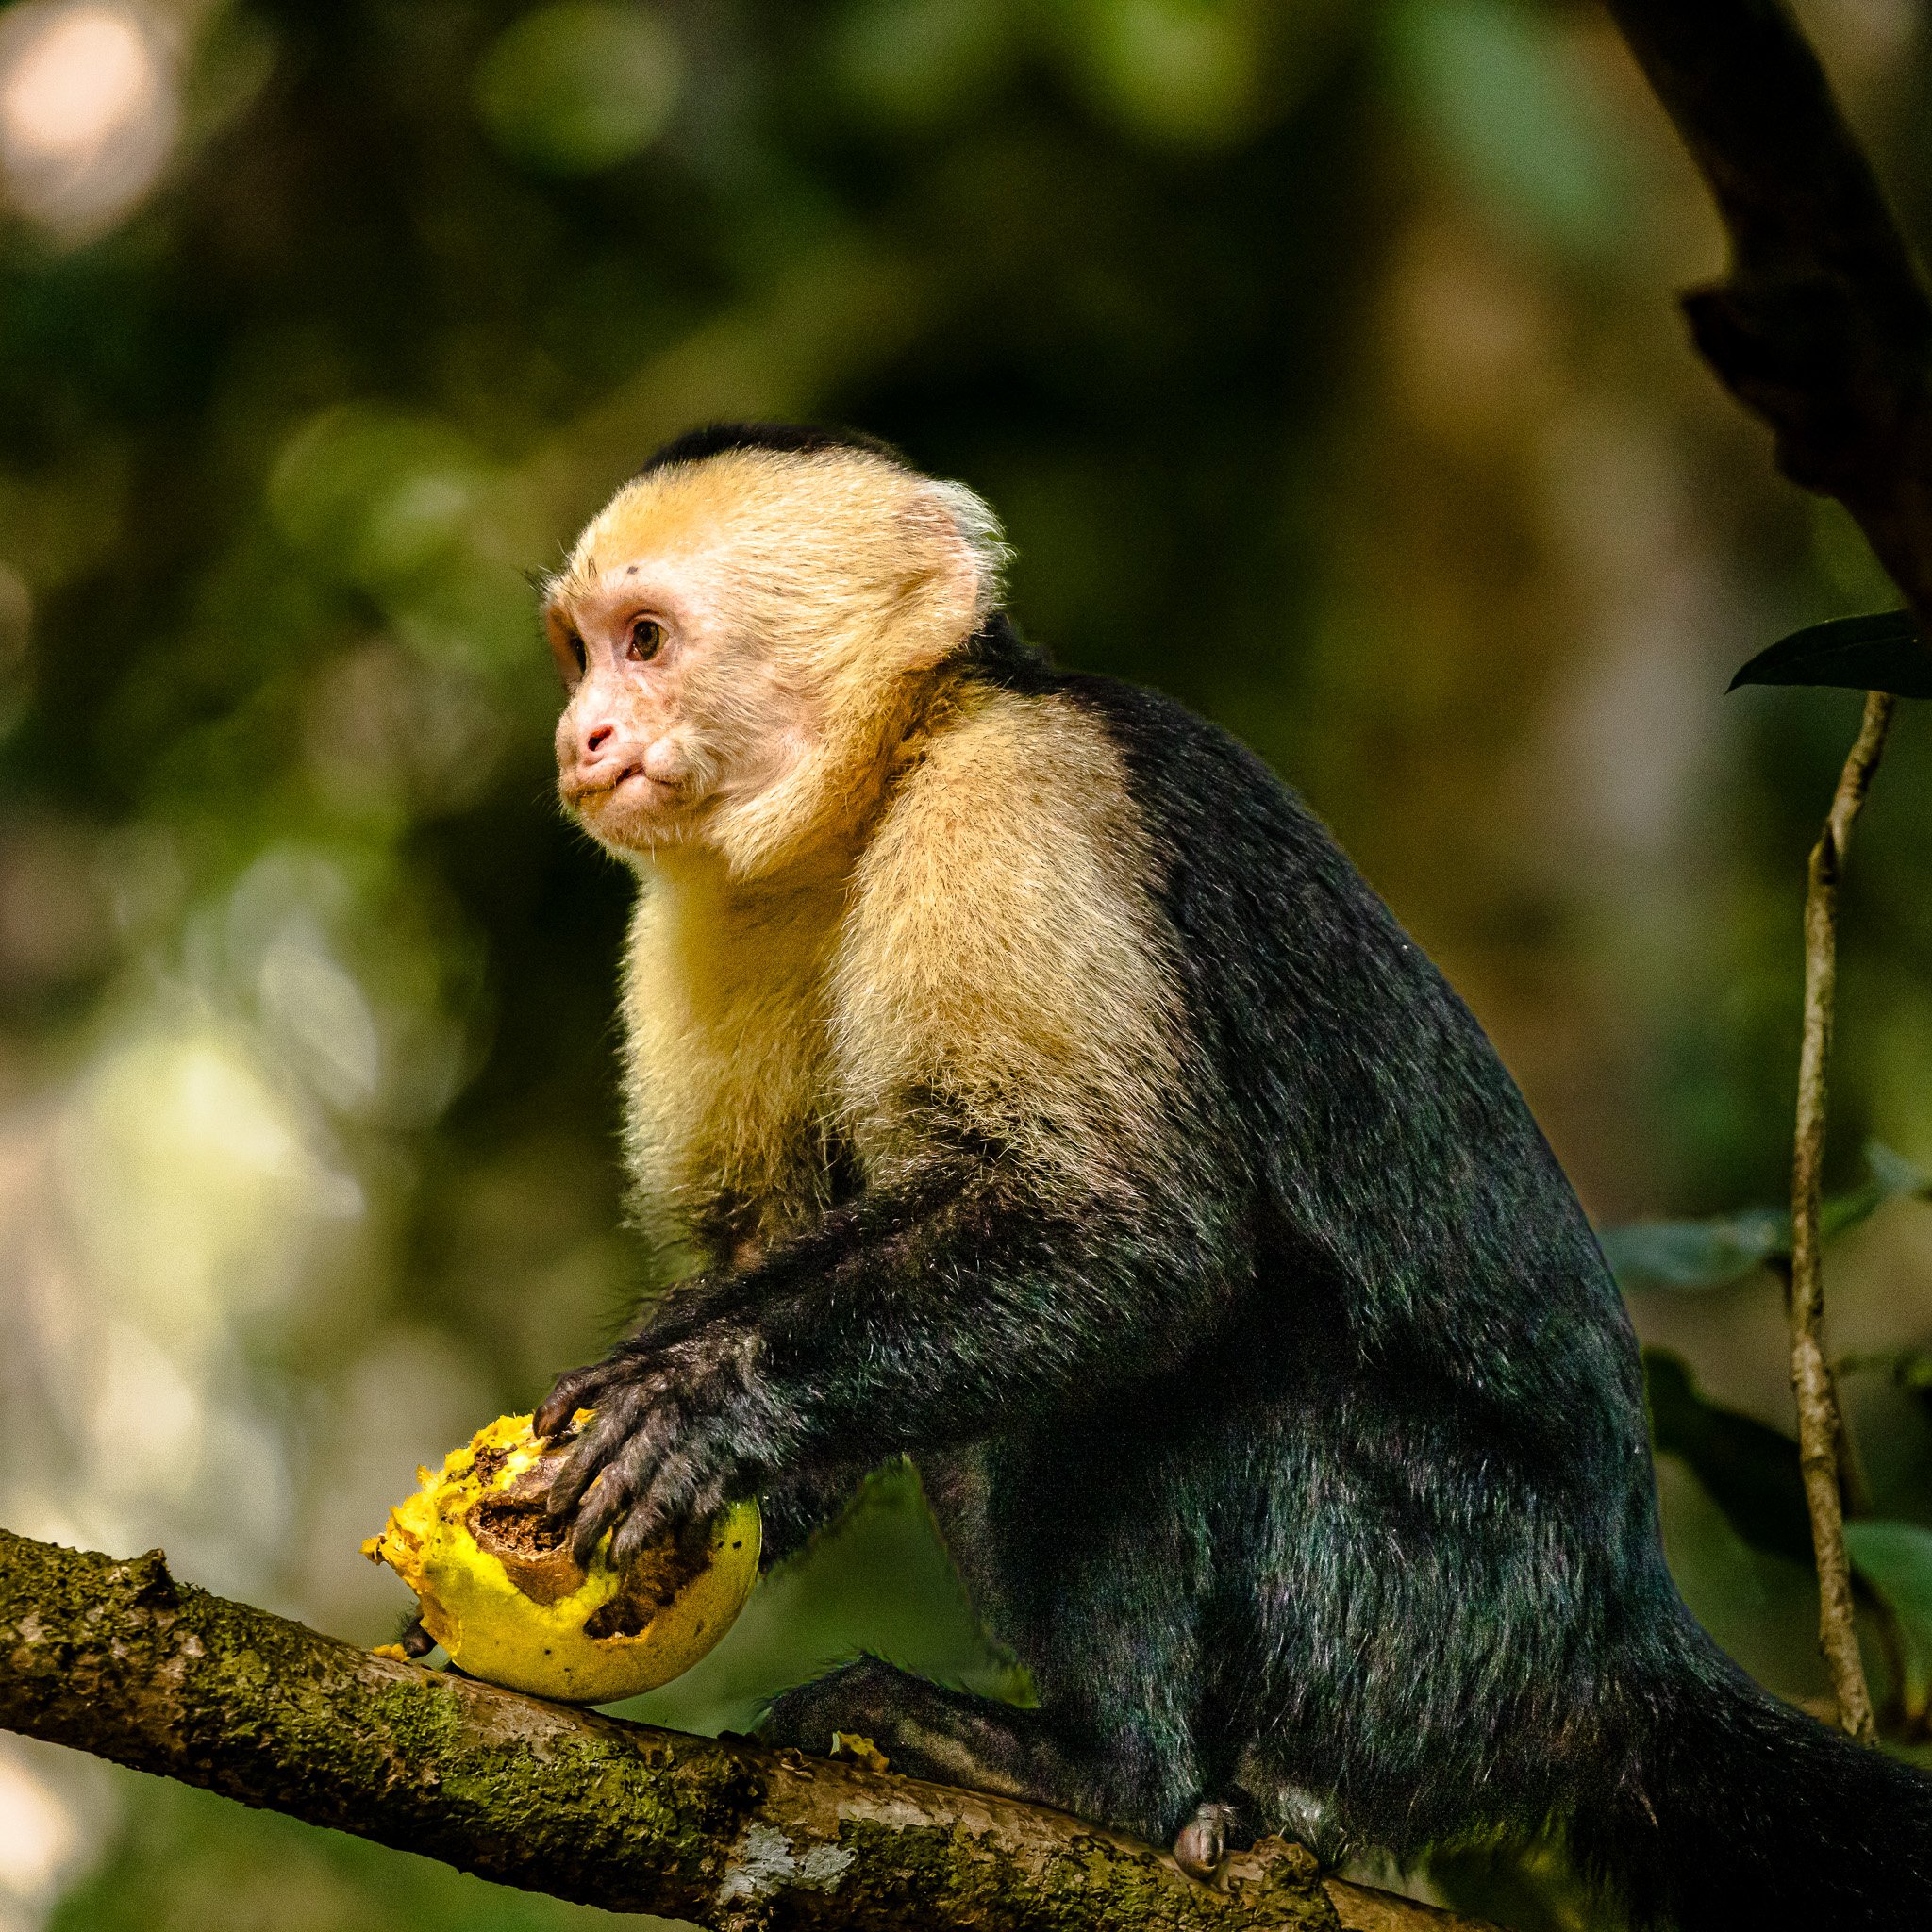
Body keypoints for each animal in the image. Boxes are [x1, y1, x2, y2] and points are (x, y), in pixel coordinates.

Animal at [530, 421, 1932, 1927]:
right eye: (580, 652)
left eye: (649, 640)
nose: (580, 736)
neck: (886, 777)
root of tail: (1619, 1641)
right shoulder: (708, 907)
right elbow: (771, 1247)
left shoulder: (1017, 799)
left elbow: (1129, 1228)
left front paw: (704, 1398)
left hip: (1450, 1612)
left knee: (1200, 1371)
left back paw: (1104, 1775)